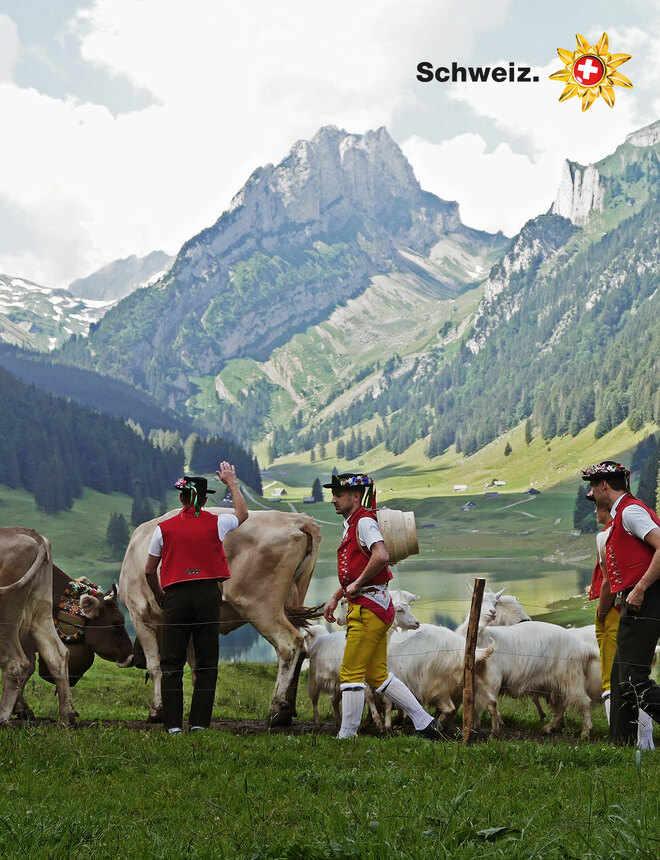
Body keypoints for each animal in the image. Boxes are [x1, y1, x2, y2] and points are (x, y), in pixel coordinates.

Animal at [0, 528, 75, 724]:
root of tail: (35, 536)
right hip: (41, 612)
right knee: (57, 655)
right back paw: (67, 716)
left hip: (7, 616)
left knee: (16, 663)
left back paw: (3, 717)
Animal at [122, 510, 324, 724]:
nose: (135, 659)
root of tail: (296, 520)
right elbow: (195, 668)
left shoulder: (138, 614)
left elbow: (155, 667)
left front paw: (156, 711)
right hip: (294, 598)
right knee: (301, 651)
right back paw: (287, 711)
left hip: (261, 606)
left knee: (289, 645)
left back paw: (276, 710)